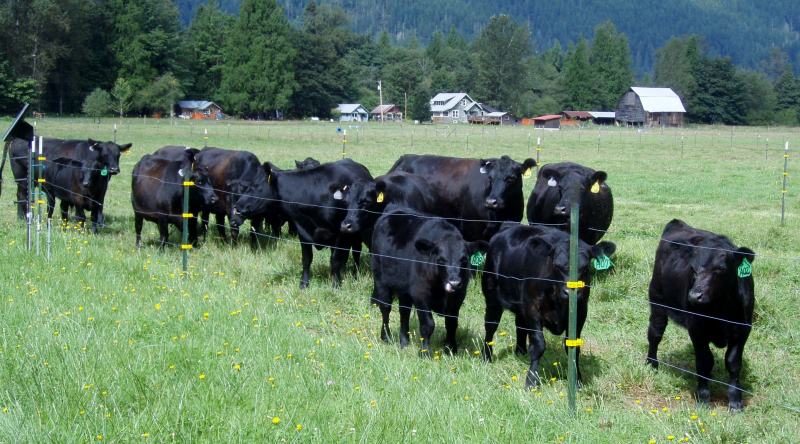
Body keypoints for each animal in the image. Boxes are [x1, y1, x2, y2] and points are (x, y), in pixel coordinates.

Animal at [234, 159, 372, 288]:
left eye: (256, 186)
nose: (237, 206)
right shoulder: (303, 231)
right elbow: (307, 259)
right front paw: (304, 284)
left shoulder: (340, 233)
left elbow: (336, 260)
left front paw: (336, 285)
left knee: (356, 253)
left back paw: (355, 274)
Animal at [368, 206, 488, 356]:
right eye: (441, 260)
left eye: (464, 260)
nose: (454, 283)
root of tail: (394, 209)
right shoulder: (420, 294)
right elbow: (428, 324)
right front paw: (425, 351)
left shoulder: (458, 296)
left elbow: (452, 323)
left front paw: (451, 349)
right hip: (380, 280)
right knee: (385, 308)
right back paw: (386, 337)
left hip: (404, 290)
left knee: (404, 312)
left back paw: (404, 341)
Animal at [482, 224, 620, 386]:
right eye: (556, 265)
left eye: (585, 267)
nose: (570, 292)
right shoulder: (532, 309)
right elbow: (539, 345)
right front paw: (531, 380)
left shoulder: (581, 311)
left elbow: (573, 346)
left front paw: (577, 380)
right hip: (492, 297)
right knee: (490, 326)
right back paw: (486, 357)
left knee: (520, 325)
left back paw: (520, 353)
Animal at [644, 220, 756, 412]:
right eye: (693, 268)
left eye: (721, 268)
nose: (694, 296)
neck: (721, 308)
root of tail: (677, 223)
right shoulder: (697, 330)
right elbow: (704, 361)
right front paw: (703, 397)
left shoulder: (743, 330)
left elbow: (733, 363)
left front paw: (735, 401)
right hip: (657, 301)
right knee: (655, 334)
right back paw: (652, 364)